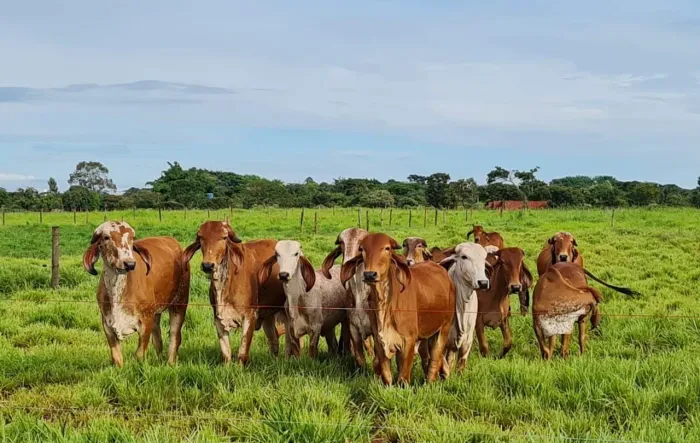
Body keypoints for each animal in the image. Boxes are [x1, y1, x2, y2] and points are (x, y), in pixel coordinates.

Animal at [83, 221, 190, 367]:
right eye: (106, 237)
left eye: (132, 238)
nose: (129, 263)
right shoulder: (107, 323)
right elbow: (117, 358)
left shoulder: (145, 321)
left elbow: (139, 354)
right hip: (155, 313)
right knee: (158, 339)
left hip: (180, 303)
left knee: (175, 336)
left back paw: (170, 363)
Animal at [183, 221, 286, 366]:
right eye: (201, 237)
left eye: (224, 237)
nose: (208, 265)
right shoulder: (218, 319)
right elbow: (226, 353)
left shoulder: (250, 316)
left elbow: (243, 352)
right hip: (268, 315)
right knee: (274, 338)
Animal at [340, 233, 455, 386]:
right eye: (362, 249)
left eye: (387, 248)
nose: (370, 274)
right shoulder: (379, 339)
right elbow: (386, 374)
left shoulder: (409, 340)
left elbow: (403, 376)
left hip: (444, 328)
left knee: (435, 357)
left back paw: (430, 382)